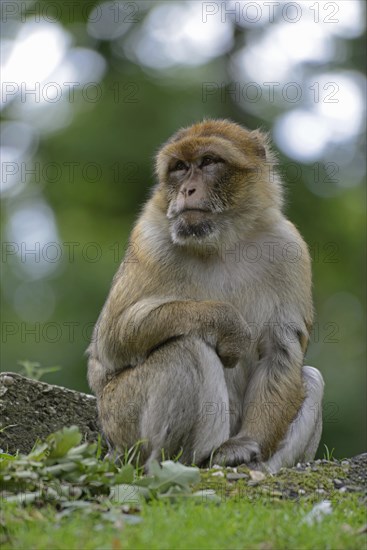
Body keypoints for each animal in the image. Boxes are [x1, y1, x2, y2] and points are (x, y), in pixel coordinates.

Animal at [88, 119, 324, 474]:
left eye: (209, 161)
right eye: (180, 167)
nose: (187, 190)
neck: (223, 240)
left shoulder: (289, 248)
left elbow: (279, 351)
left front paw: (247, 444)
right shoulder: (149, 237)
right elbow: (113, 338)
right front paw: (229, 325)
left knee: (311, 377)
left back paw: (250, 465)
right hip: (122, 420)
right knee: (187, 348)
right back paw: (190, 461)